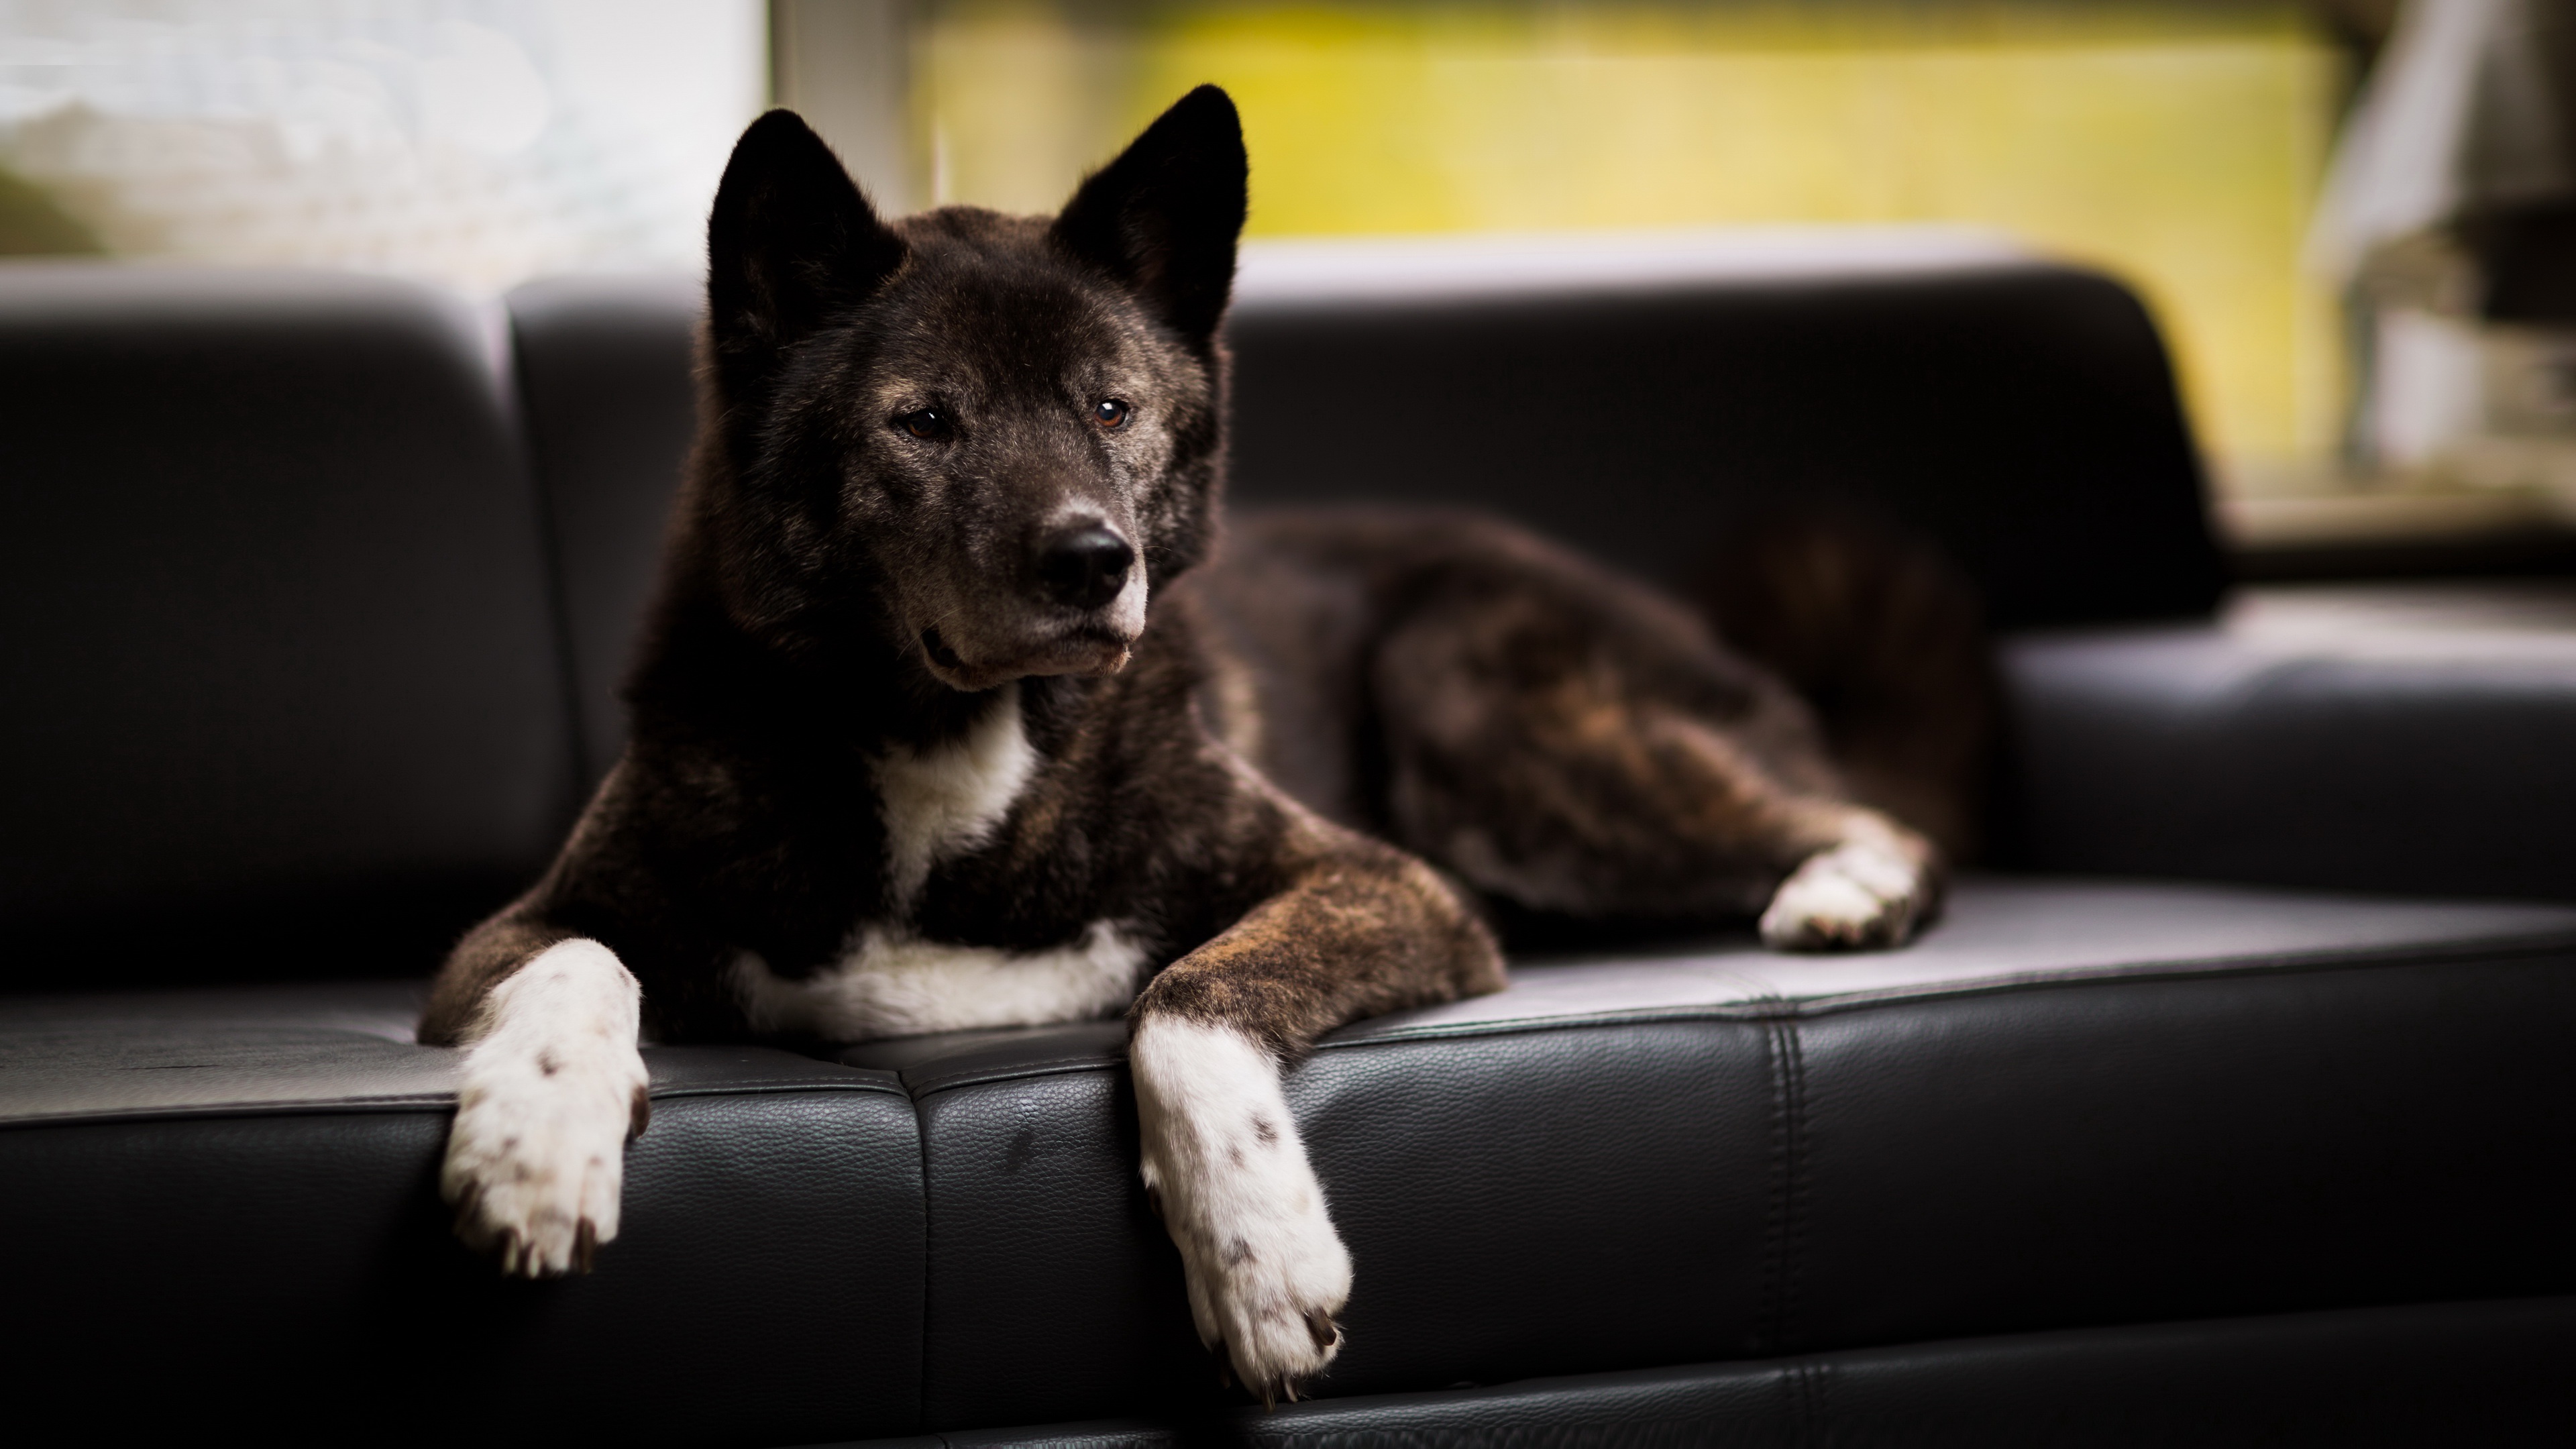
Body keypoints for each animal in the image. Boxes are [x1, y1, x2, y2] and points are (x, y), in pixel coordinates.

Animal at [422, 82, 1937, 1402]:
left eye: (1113, 406)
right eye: (922, 420)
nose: (1098, 565)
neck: (959, 739)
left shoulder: (1383, 883)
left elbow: (1185, 994)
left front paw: (1258, 1258)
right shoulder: (509, 937)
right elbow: (578, 958)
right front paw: (536, 1139)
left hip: (1476, 714)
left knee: (1867, 810)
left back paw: (1846, 891)